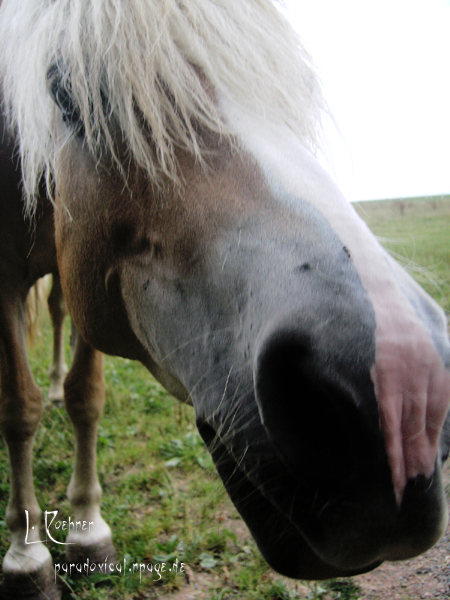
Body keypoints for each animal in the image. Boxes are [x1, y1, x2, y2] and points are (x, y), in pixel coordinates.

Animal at [0, 0, 448, 596]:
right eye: (68, 94)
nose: (400, 398)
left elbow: (85, 397)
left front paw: (88, 532)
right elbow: (16, 409)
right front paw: (25, 556)